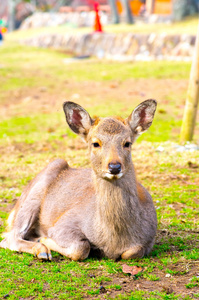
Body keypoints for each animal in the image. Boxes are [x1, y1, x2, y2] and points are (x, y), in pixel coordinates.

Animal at [0, 99, 158, 262]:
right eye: (95, 143)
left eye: (127, 143)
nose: (114, 166)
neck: (113, 240)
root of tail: (12, 212)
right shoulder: (63, 224)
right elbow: (81, 248)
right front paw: (44, 240)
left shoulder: (148, 240)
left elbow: (132, 252)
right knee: (9, 237)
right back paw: (42, 250)